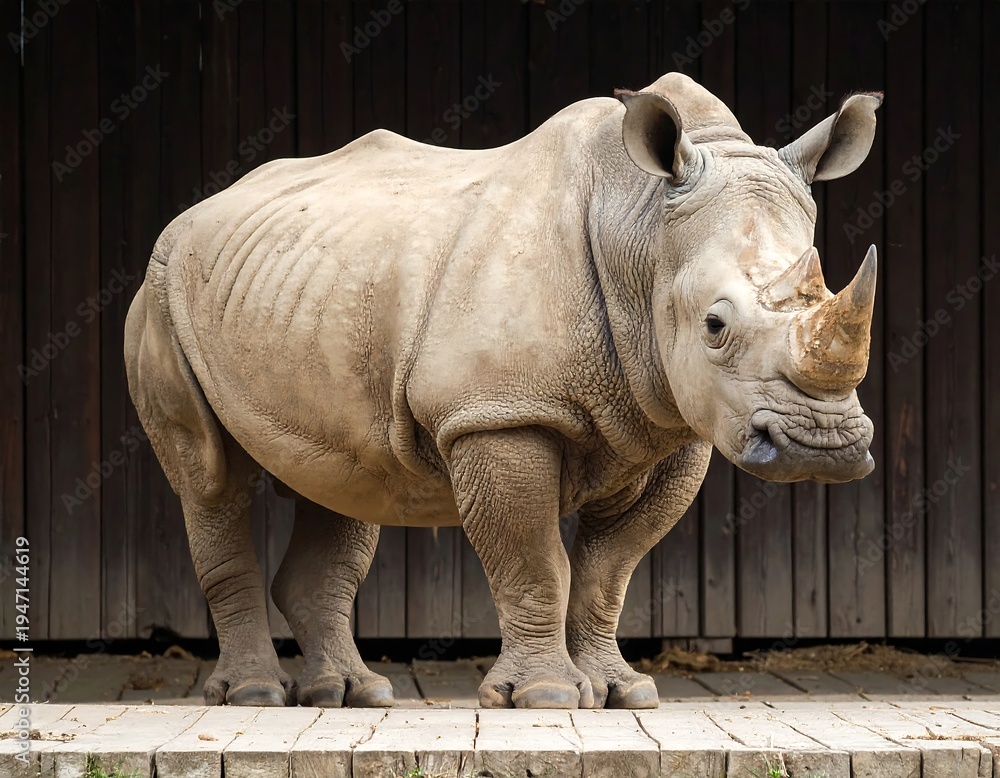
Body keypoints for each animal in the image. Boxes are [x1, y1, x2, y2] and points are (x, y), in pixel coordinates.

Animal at [124, 73, 881, 710]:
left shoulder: (674, 425)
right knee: (208, 475)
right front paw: (547, 698)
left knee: (344, 476)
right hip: (161, 291)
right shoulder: (497, 414)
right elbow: (534, 559)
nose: (822, 448)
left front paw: (624, 693)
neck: (640, 227)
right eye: (715, 326)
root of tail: (198, 211)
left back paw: (351, 694)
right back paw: (255, 694)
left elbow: (608, 572)